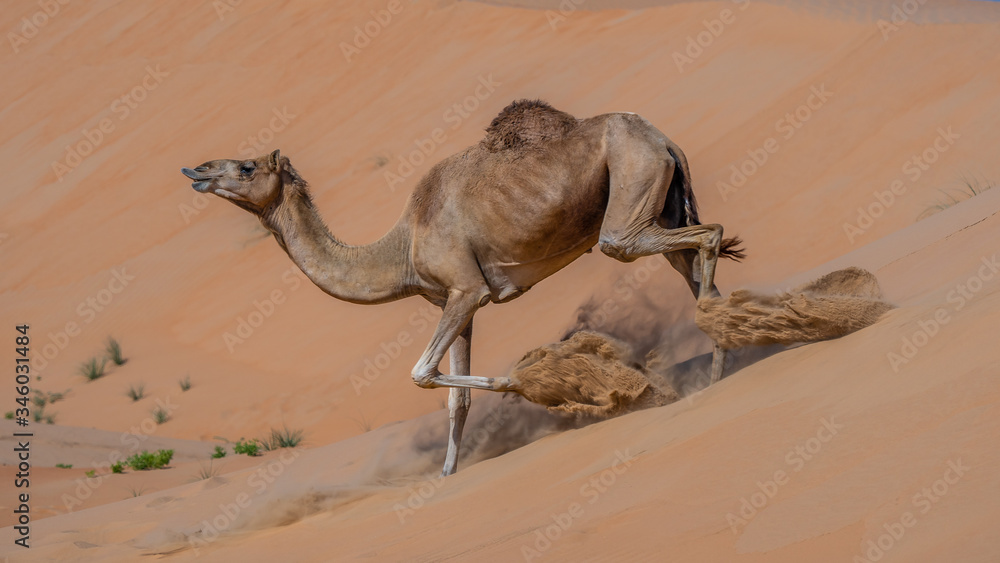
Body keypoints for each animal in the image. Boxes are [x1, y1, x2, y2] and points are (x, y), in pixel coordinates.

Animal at [182, 100, 743, 476]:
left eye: (246, 166)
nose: (197, 170)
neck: (402, 248)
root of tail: (663, 139)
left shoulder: (466, 289)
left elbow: (422, 372)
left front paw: (545, 380)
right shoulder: (459, 302)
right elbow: (455, 398)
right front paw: (447, 476)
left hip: (629, 208)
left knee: (704, 236)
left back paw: (716, 371)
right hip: (659, 204)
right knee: (695, 268)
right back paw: (720, 368)